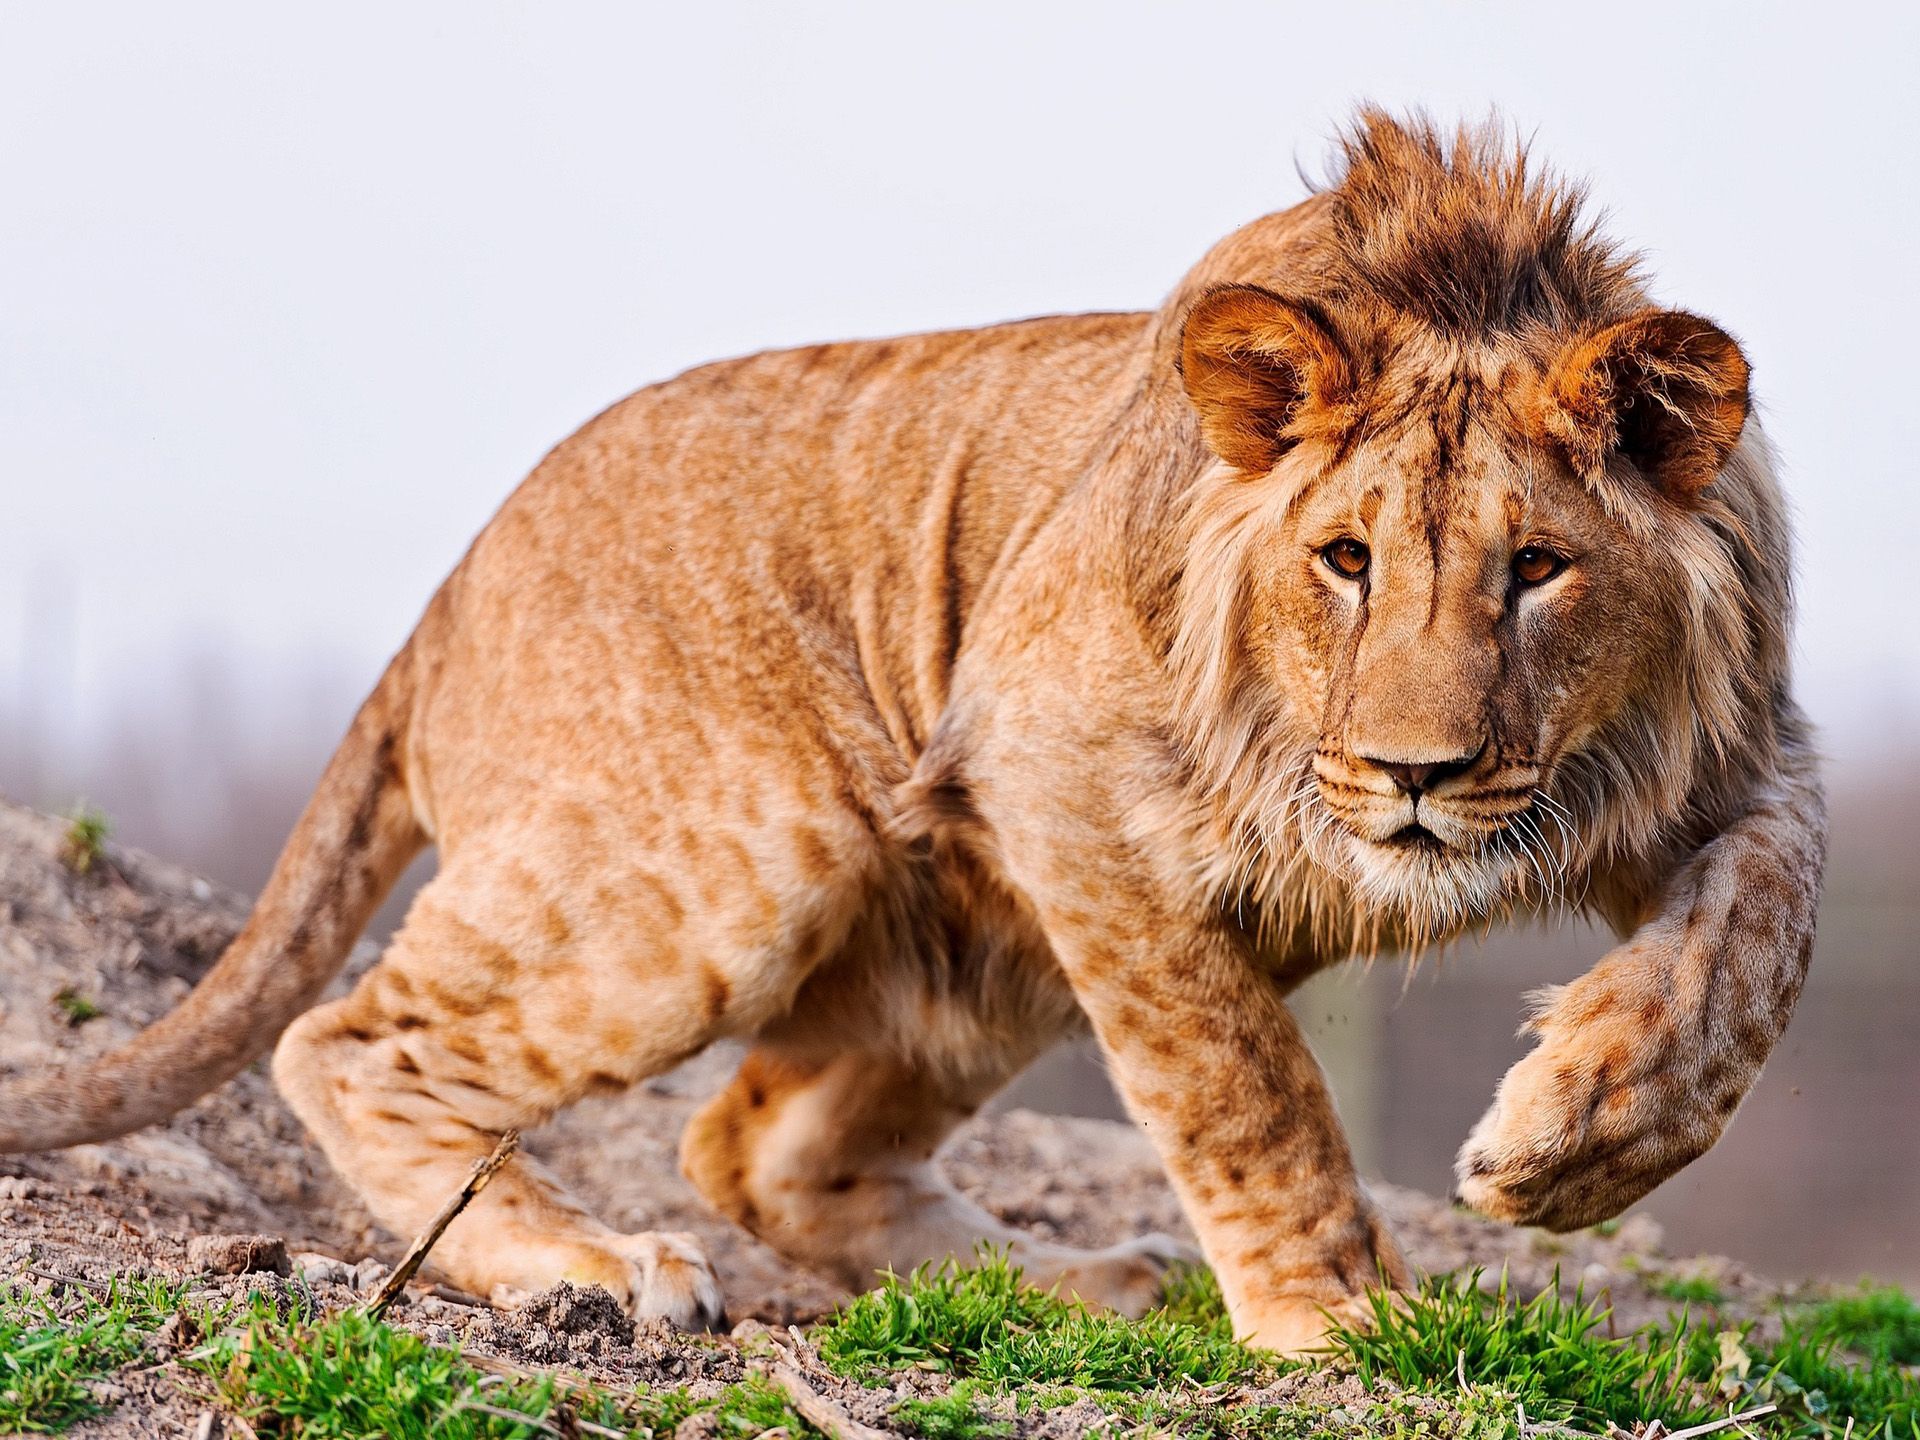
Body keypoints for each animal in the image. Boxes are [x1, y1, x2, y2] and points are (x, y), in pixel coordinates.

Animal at [0, 110, 1825, 1354]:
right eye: (1347, 561)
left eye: (1540, 570)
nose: (1417, 777)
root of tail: (450, 589)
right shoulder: (1060, 769)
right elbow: (1243, 1083)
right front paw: (1338, 1318)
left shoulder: (1736, 755)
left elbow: (1758, 943)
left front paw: (1573, 1144)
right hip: (741, 862)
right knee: (358, 1041)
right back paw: (592, 1268)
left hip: (975, 946)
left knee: (757, 1145)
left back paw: (1089, 1282)